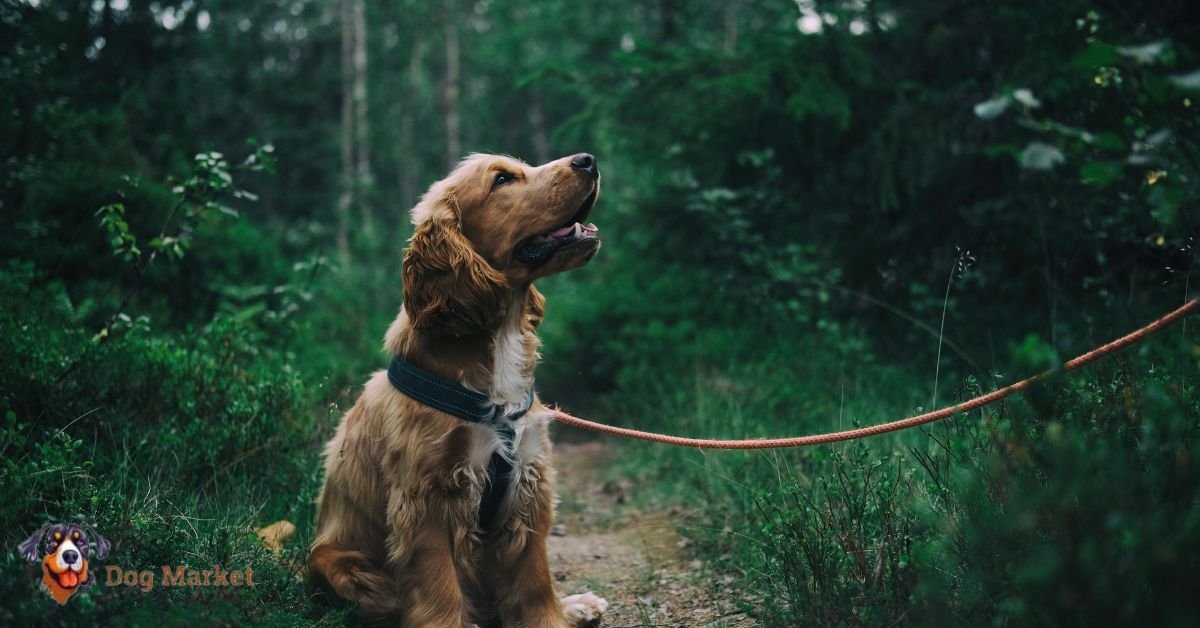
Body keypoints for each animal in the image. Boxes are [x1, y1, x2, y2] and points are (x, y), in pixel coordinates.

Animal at [309, 153, 609, 628]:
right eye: (502, 179)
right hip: (340, 565)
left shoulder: (528, 481)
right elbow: (440, 590)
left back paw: (577, 605)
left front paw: (554, 615)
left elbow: (535, 581)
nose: (588, 160)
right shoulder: (427, 498)